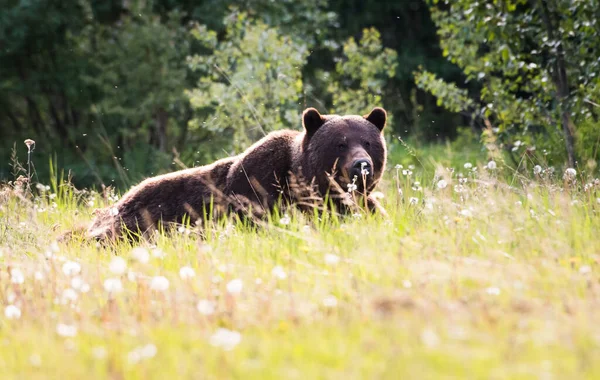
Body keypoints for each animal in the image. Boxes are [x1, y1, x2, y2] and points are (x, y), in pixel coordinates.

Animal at [83, 107, 390, 240]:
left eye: (368, 142)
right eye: (341, 143)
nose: (361, 165)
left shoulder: (358, 205)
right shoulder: (257, 190)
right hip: (135, 221)